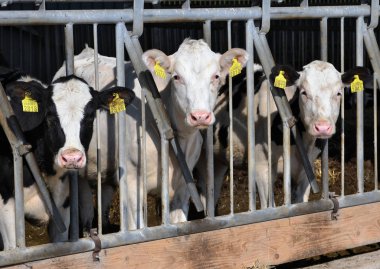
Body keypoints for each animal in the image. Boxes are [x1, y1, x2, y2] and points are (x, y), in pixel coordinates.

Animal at [0, 69, 134, 249]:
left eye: (90, 116)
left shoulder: (62, 204)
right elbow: (12, 247)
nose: (72, 158)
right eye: (49, 116)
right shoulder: (5, 201)